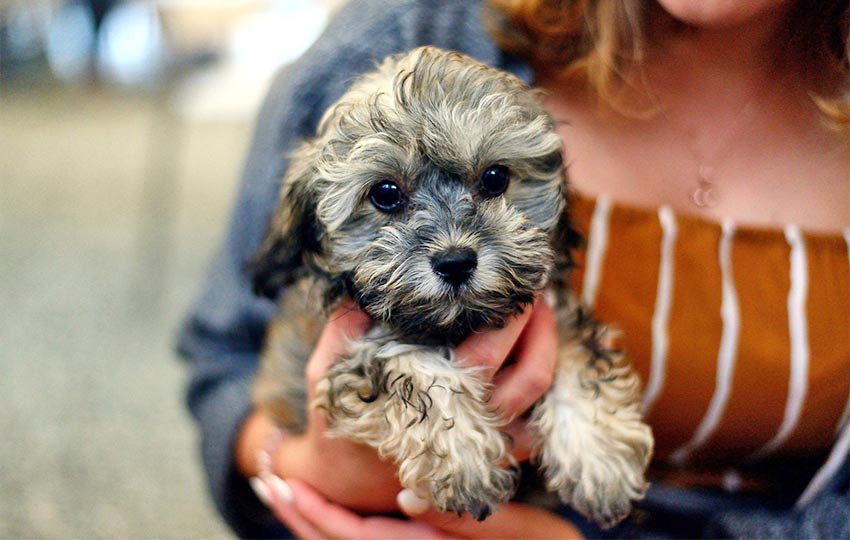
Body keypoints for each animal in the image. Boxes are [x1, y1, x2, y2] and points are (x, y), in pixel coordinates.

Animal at [248, 47, 652, 528]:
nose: (456, 262)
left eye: (495, 178)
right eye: (385, 193)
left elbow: (578, 357)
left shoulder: (553, 311)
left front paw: (598, 458)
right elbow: (412, 368)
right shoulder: (356, 347)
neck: (458, 322)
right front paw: (463, 459)